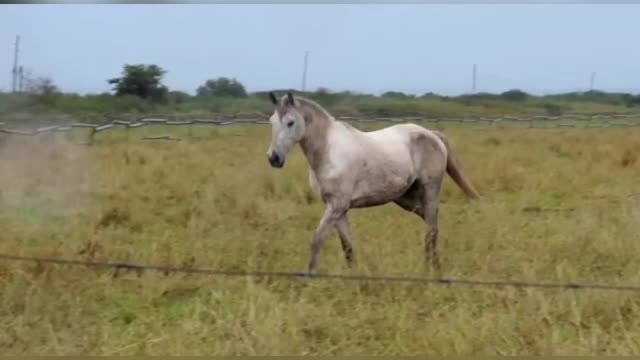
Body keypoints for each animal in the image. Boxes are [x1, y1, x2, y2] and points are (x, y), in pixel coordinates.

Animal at [264, 91, 480, 274]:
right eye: (272, 122)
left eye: (290, 122)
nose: (274, 158)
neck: (328, 151)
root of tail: (432, 134)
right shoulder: (338, 209)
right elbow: (348, 247)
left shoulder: (336, 206)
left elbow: (316, 240)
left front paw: (308, 276)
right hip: (407, 200)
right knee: (430, 223)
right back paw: (435, 265)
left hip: (430, 190)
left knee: (432, 230)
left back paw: (430, 270)